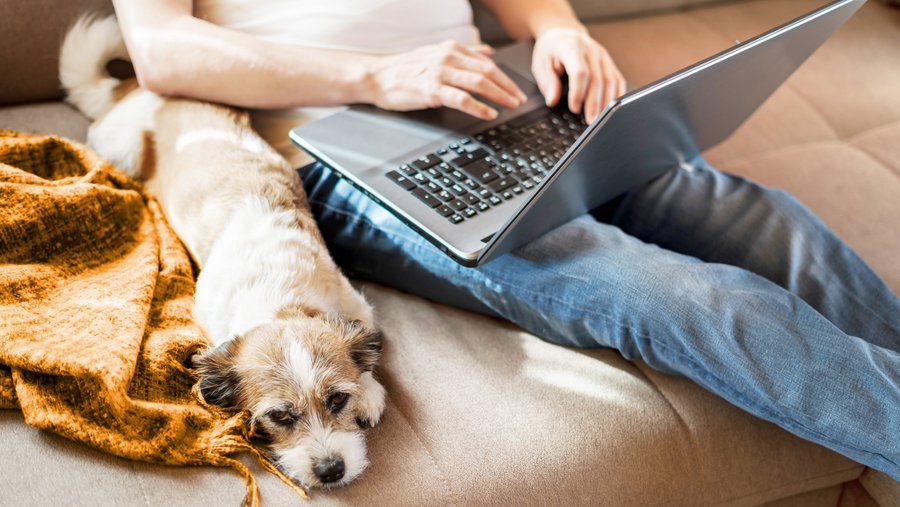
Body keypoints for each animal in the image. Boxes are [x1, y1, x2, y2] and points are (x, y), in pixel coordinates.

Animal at [60, 14, 386, 492]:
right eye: (280, 416)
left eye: (337, 399)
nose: (331, 470)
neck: (280, 298)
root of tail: (131, 89)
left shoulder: (355, 304)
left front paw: (370, 389)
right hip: (121, 150)